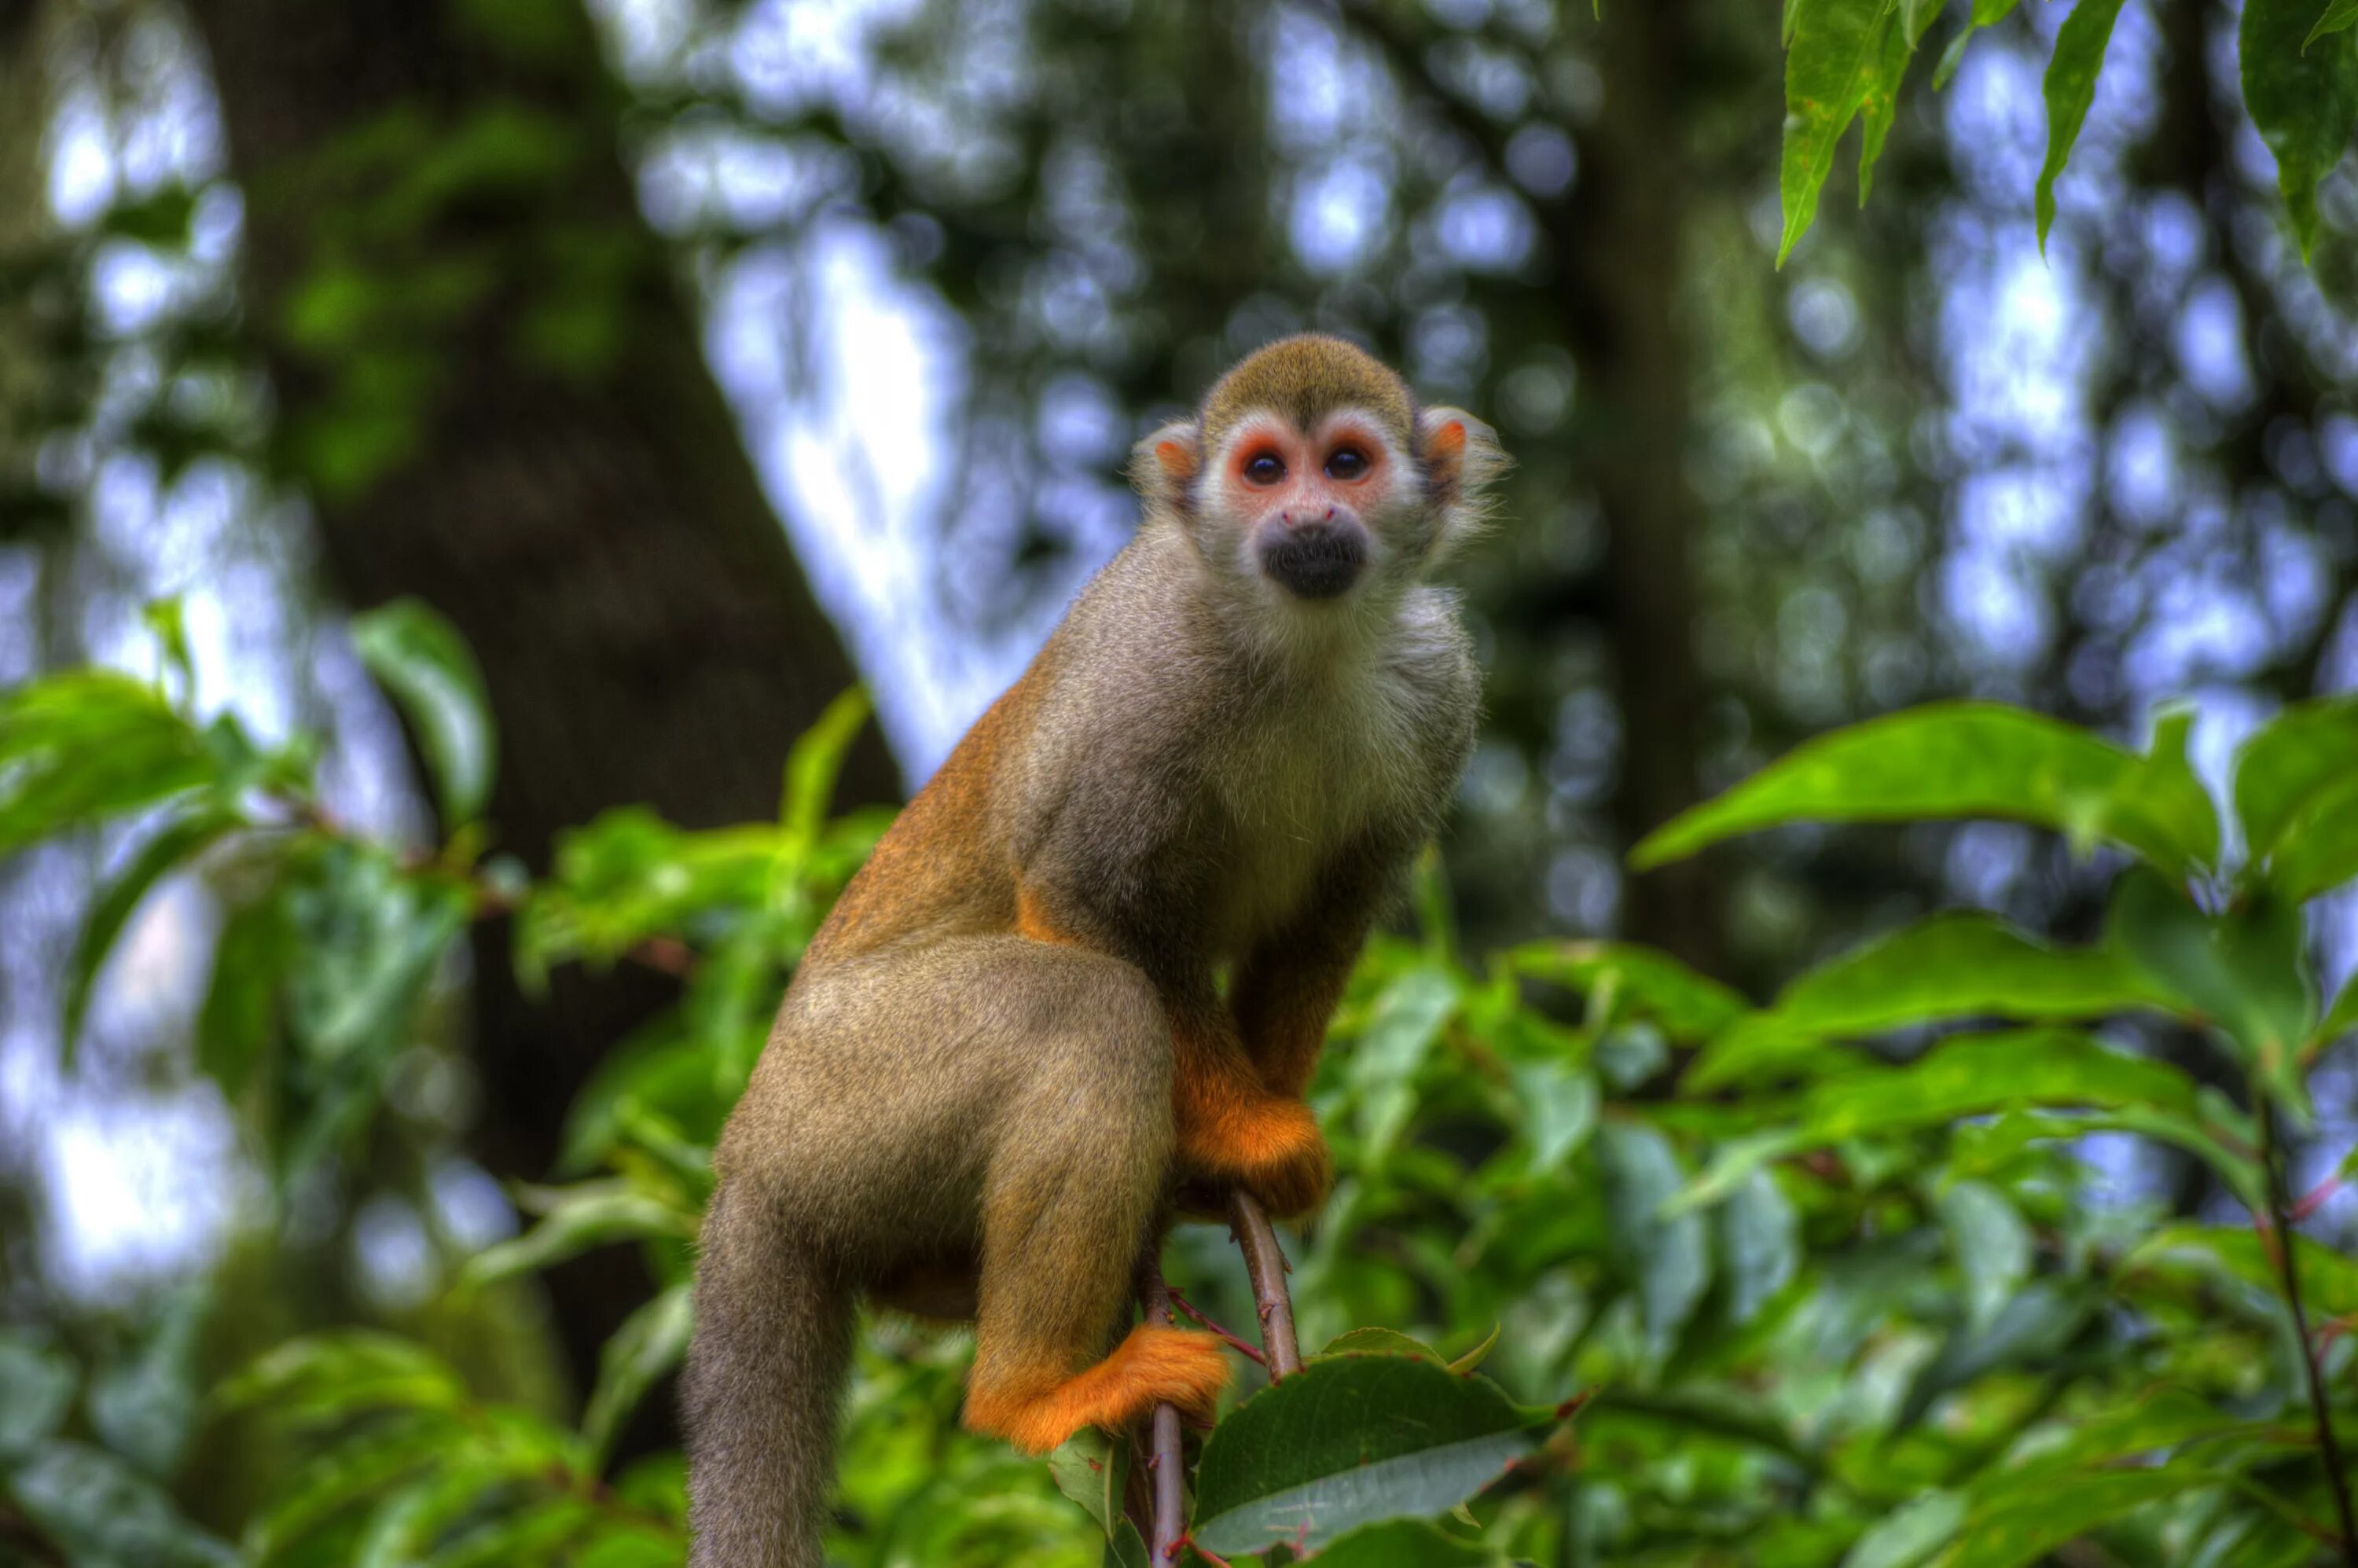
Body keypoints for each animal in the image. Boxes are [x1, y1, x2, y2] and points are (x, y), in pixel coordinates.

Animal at [684, 337, 1500, 1556]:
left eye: (1348, 463)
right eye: (1266, 468)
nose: (1308, 514)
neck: (1299, 646)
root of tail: (742, 1158)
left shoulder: (1440, 686)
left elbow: (1324, 924)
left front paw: (1246, 1149)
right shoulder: (1146, 675)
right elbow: (1079, 890)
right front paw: (1245, 1134)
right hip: (843, 1092)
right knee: (1087, 1011)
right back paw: (1031, 1394)